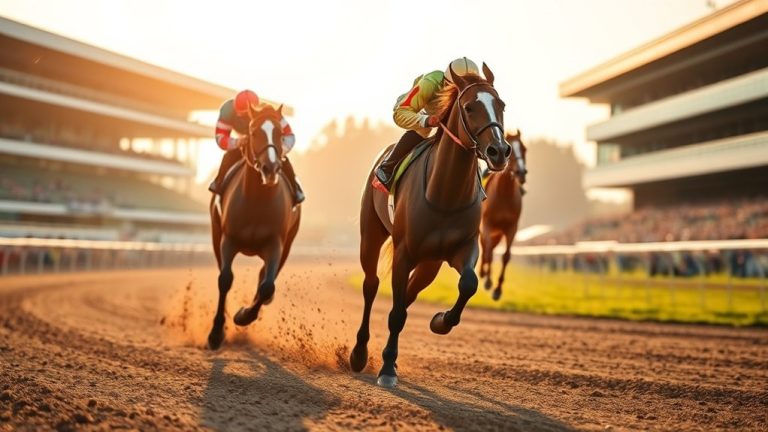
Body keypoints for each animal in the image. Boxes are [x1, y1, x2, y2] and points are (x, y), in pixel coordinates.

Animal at [207, 103, 301, 350]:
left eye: (278, 133)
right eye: (253, 132)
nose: (271, 168)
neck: (257, 199)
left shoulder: (276, 244)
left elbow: (267, 286)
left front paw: (243, 315)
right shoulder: (228, 240)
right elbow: (225, 279)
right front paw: (216, 333)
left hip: (288, 244)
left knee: (265, 279)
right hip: (215, 234)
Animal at [350, 64, 512, 388]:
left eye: (501, 105)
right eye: (469, 107)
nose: (499, 152)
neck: (445, 196)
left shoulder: (462, 248)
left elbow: (469, 283)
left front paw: (441, 322)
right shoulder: (404, 253)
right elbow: (396, 312)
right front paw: (386, 370)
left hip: (429, 264)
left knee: (409, 296)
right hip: (371, 234)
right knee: (371, 285)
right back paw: (359, 354)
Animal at [479, 130, 527, 301]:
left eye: (524, 149)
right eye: (511, 150)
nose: (521, 173)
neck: (504, 195)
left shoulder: (511, 228)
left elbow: (506, 256)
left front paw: (498, 289)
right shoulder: (487, 225)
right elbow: (488, 253)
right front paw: (488, 281)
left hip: (497, 235)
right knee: (485, 249)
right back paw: (482, 273)